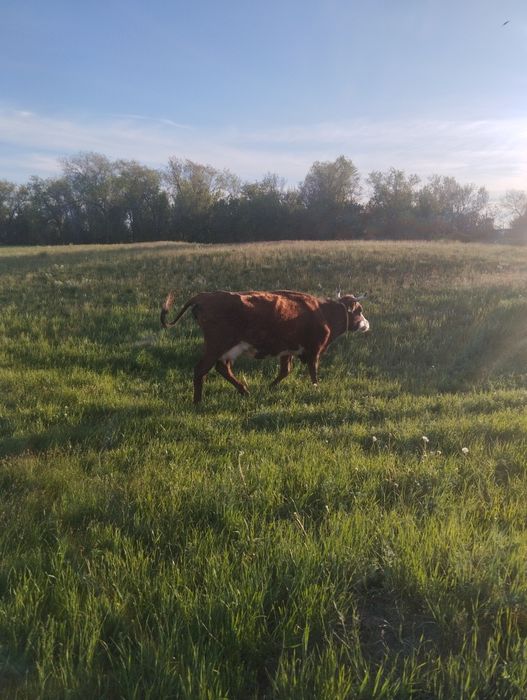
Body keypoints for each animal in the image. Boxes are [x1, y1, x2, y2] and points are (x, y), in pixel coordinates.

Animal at [161, 289, 369, 403]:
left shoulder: (288, 350)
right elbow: (313, 372)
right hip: (216, 345)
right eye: (359, 310)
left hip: (227, 349)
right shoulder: (314, 349)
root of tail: (205, 296)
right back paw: (198, 401)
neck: (324, 313)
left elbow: (285, 371)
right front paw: (315, 389)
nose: (367, 325)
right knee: (201, 370)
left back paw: (244, 391)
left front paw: (269, 387)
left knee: (222, 368)